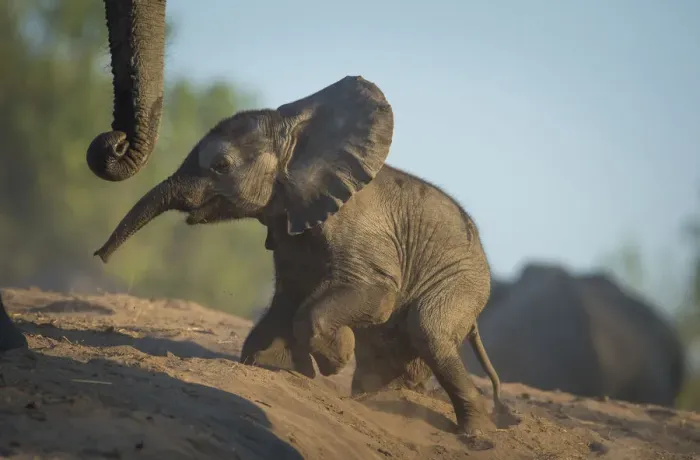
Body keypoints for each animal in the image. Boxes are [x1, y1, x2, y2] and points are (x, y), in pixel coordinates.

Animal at [93, 75, 516, 437]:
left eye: (221, 166)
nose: (100, 256)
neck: (300, 143)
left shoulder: (357, 229)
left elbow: (373, 294)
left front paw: (335, 359)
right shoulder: (289, 226)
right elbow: (290, 293)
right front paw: (275, 366)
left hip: (463, 281)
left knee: (428, 328)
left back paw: (476, 435)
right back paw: (384, 396)